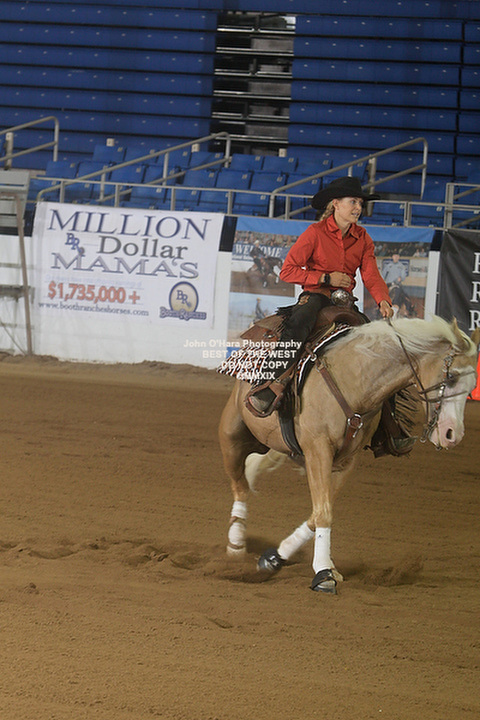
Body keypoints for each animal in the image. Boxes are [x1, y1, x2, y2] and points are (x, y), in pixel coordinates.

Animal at [218, 316, 477, 594]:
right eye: (451, 377)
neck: (354, 380)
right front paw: (323, 573)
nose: (453, 435)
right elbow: (323, 512)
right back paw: (236, 547)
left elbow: (320, 511)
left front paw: (279, 557)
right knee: (240, 486)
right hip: (232, 437)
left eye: (472, 386)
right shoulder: (318, 449)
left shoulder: (345, 460)